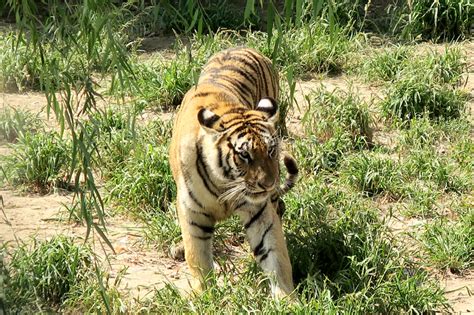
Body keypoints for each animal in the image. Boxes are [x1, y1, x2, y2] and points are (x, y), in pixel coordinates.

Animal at [168, 47, 298, 298]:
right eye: (245, 155)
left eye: (271, 150)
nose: (268, 184)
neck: (224, 183)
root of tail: (242, 47)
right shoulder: (191, 211)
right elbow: (197, 256)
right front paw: (205, 296)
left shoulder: (259, 211)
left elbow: (275, 255)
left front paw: (287, 299)